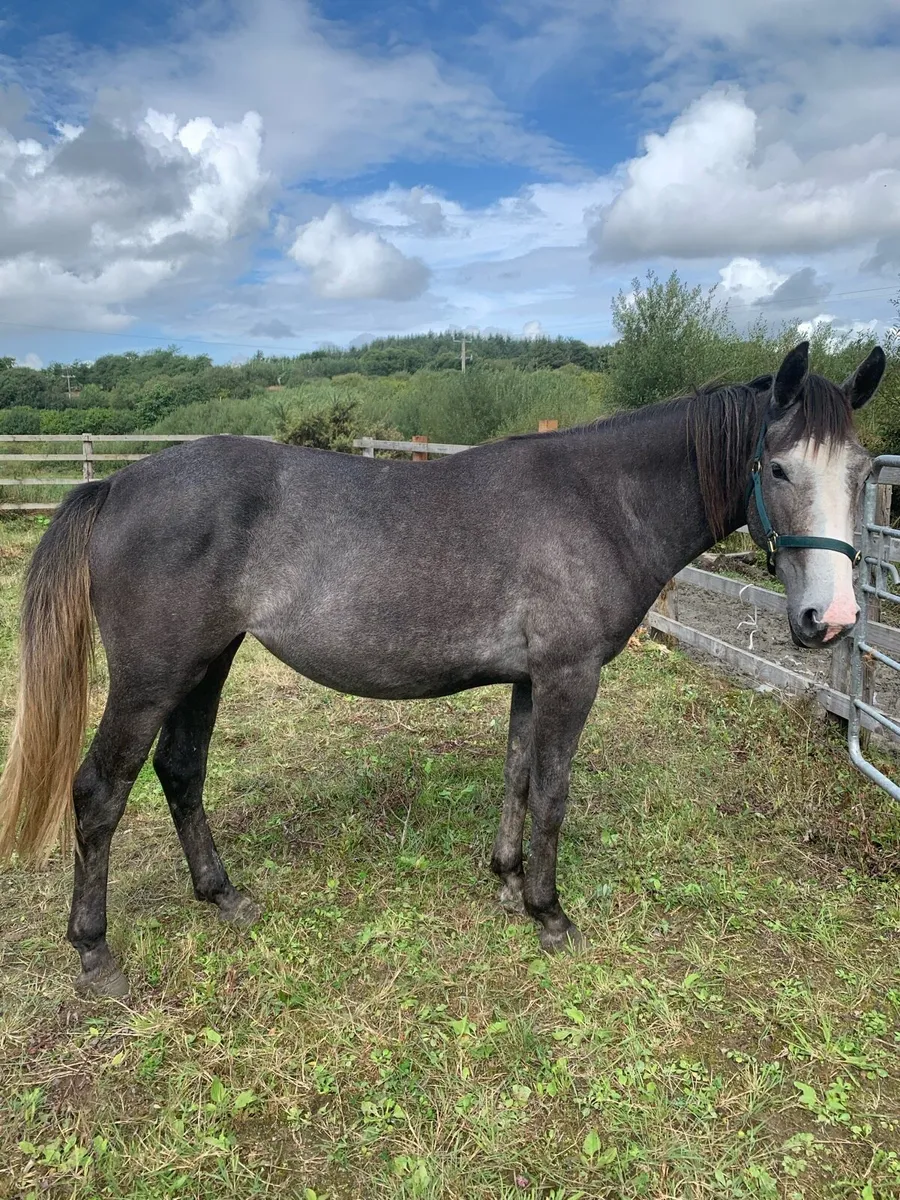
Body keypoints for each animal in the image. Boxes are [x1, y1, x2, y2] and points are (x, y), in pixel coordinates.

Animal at [0, 341, 886, 997]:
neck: (599, 501)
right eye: (779, 468)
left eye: (863, 472)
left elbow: (518, 778)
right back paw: (95, 955)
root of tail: (118, 483)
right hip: (152, 678)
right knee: (101, 793)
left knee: (181, 772)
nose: (834, 619)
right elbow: (554, 794)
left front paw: (506, 883)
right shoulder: (570, 677)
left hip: (206, 664)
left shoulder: (531, 681)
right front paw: (550, 913)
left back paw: (223, 895)